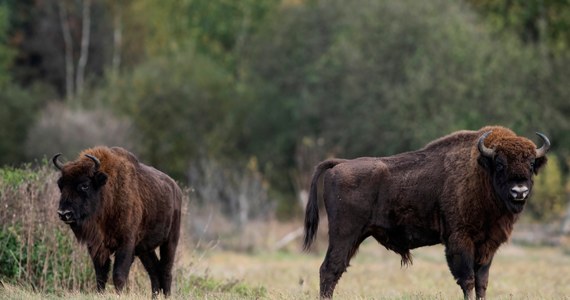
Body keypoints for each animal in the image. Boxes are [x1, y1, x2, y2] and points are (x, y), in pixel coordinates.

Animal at [52, 146, 182, 296]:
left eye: (84, 185)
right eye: (61, 185)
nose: (64, 213)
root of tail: (176, 189)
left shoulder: (126, 243)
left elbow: (118, 275)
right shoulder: (97, 246)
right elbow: (101, 275)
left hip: (170, 241)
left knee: (166, 271)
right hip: (145, 249)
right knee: (154, 271)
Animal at [304, 125, 548, 298]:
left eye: (531, 163)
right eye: (500, 164)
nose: (519, 191)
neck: (480, 171)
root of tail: (340, 164)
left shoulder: (488, 244)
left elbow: (482, 282)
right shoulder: (460, 240)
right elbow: (467, 280)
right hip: (344, 235)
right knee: (330, 269)